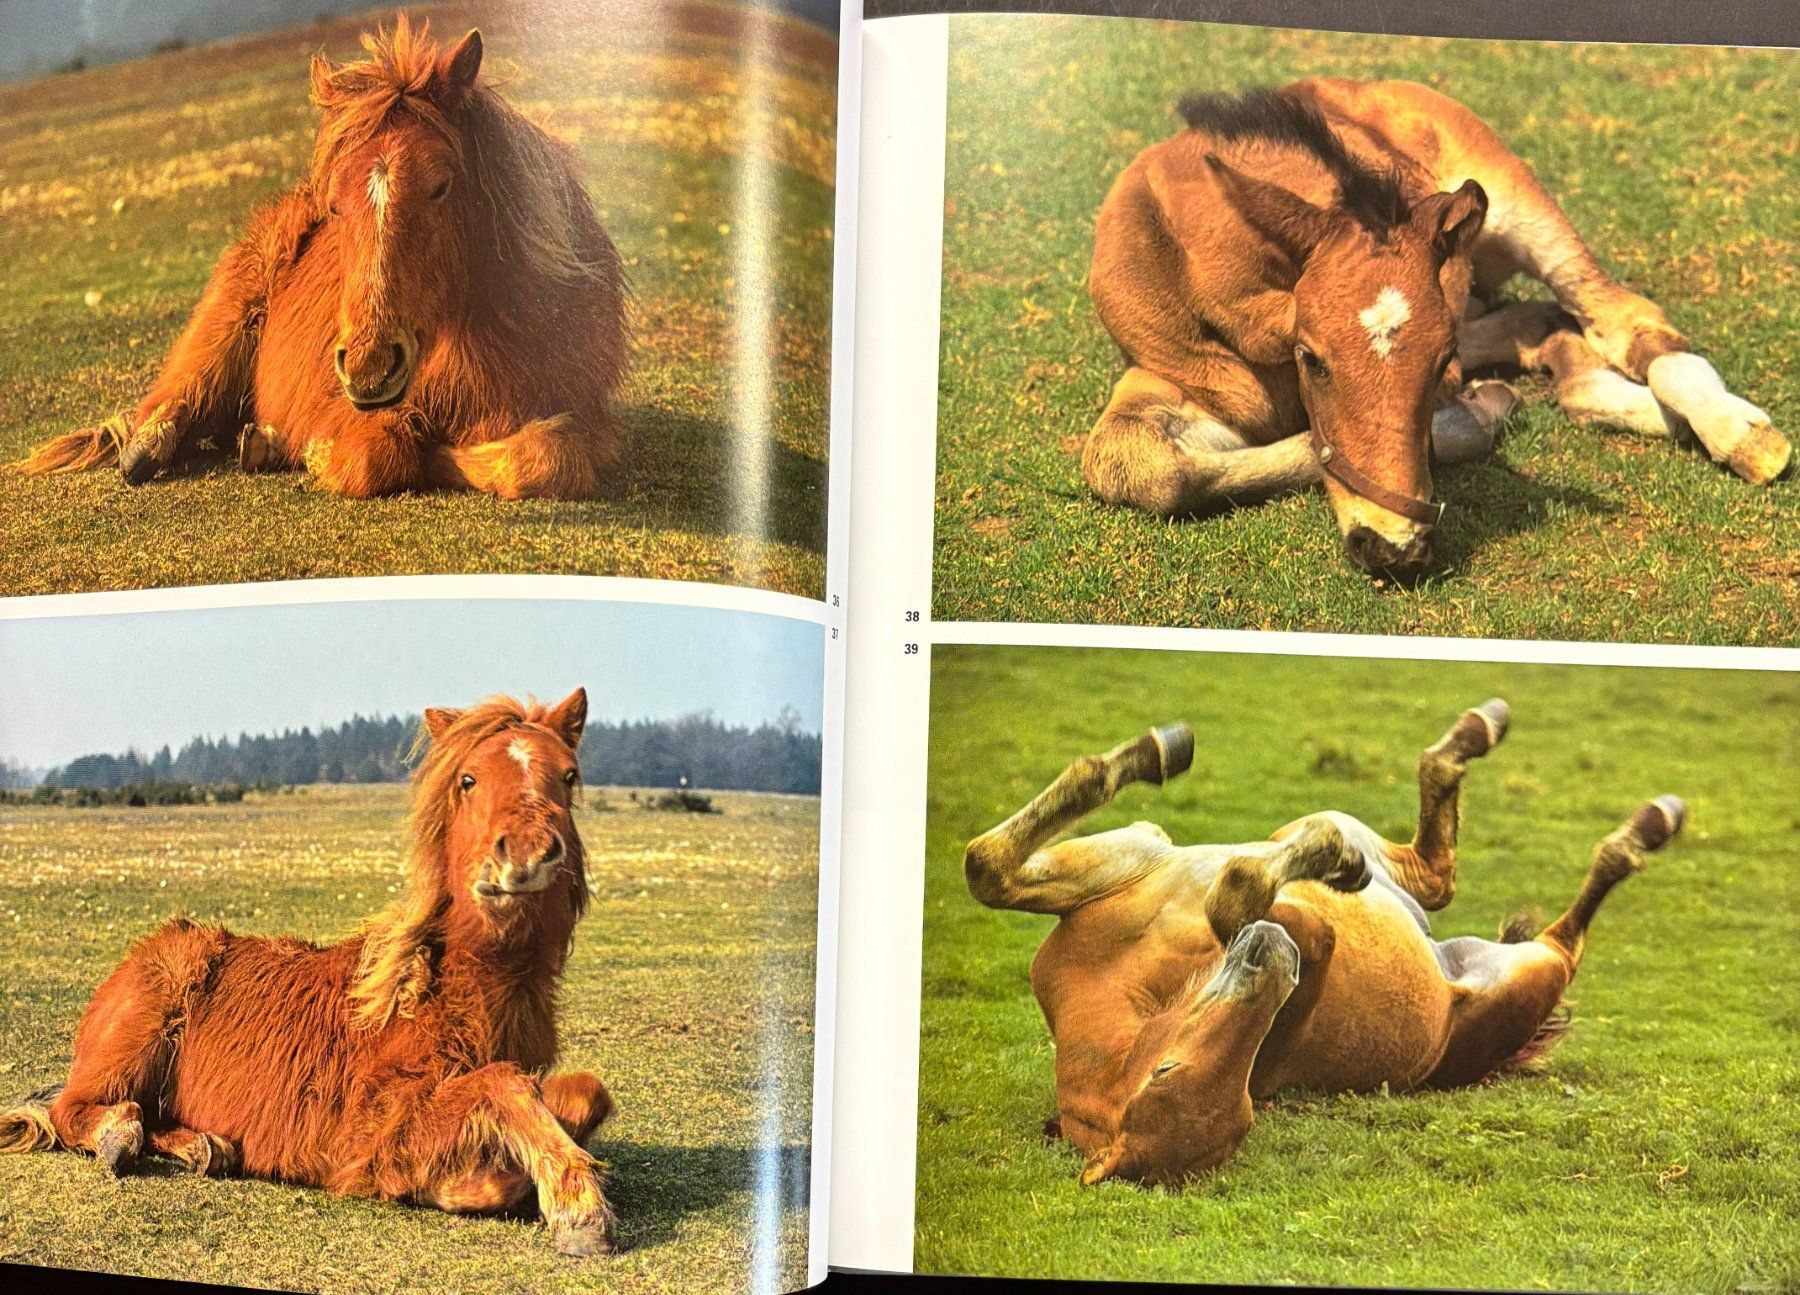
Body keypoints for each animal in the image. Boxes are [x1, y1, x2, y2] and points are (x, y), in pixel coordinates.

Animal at [0, 689, 620, 1256]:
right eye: (468, 780)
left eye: (568, 776)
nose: (528, 855)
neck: (453, 994)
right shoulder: (373, 1132)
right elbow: (502, 1085)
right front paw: (576, 1205)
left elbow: (582, 1094)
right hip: (140, 1029)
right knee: (78, 1111)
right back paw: (119, 1133)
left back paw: (206, 1147)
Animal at [12, 16, 628, 500]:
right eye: (334, 205)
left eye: (441, 187)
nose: (369, 365)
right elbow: (381, 456)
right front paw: (313, 449)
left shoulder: (585, 412)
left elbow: (547, 460)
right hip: (223, 331)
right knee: (166, 408)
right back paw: (169, 444)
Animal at [962, 700, 1685, 1187]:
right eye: (1165, 1073)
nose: (1275, 961)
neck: (1138, 990)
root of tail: (1450, 978)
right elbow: (1234, 887)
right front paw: (1319, 862)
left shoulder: (1140, 864)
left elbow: (988, 865)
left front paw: (1155, 754)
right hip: (1523, 969)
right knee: (1467, 888)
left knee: (1452, 877)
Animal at [1084, 80, 1791, 576]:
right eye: (1311, 358)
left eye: (1436, 358)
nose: (1392, 548)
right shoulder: (1176, 382)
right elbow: (1140, 469)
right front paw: (1478, 413)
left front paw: (1469, 417)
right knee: (1548, 330)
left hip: (1517, 202)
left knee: (1617, 316)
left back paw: (1741, 434)